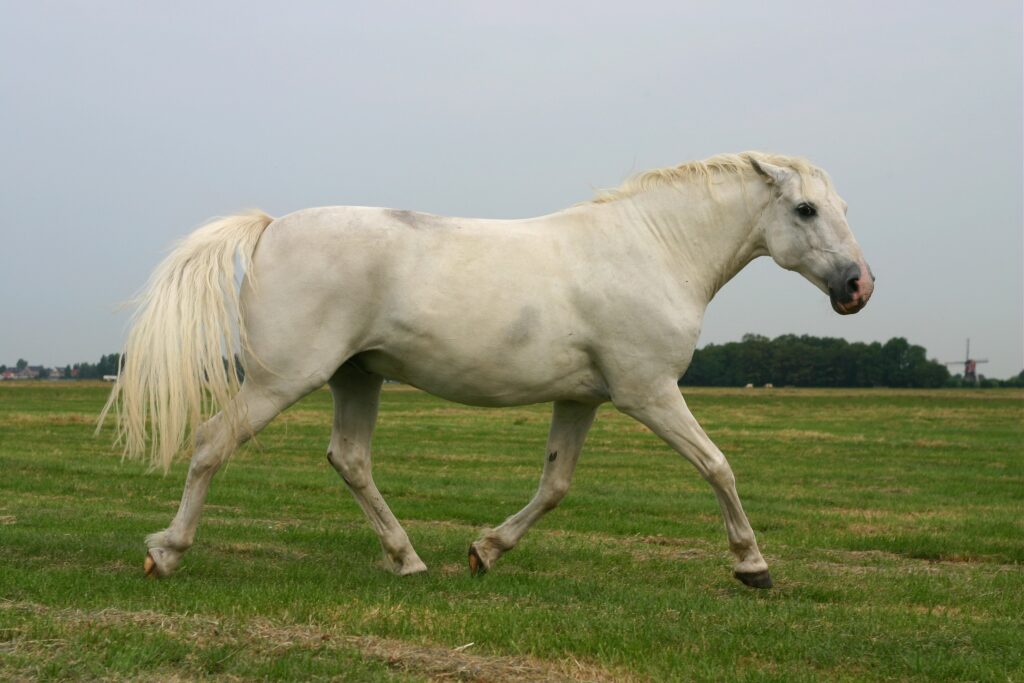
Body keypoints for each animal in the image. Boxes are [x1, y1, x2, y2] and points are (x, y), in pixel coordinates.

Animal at [100, 152, 874, 589]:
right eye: (806, 208)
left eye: (842, 206)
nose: (857, 286)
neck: (652, 249)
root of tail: (271, 227)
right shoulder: (649, 392)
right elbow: (717, 465)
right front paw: (753, 566)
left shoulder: (582, 400)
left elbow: (556, 485)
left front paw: (485, 551)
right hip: (281, 379)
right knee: (211, 442)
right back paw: (166, 554)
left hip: (357, 377)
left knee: (349, 459)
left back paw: (409, 559)